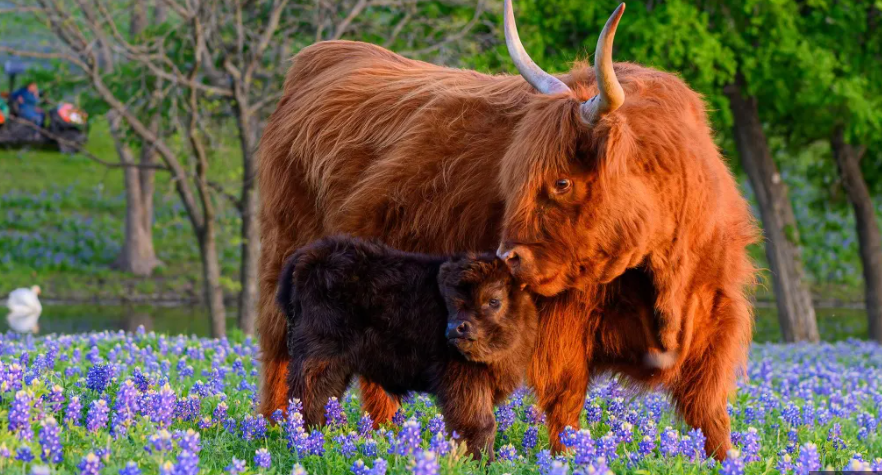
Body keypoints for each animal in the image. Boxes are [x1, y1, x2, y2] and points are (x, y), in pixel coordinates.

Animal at [276, 238, 536, 462]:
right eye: (451, 299)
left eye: (494, 300)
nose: (457, 328)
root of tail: (306, 259)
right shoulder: (466, 383)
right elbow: (481, 424)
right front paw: (481, 462)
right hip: (320, 358)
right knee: (308, 396)